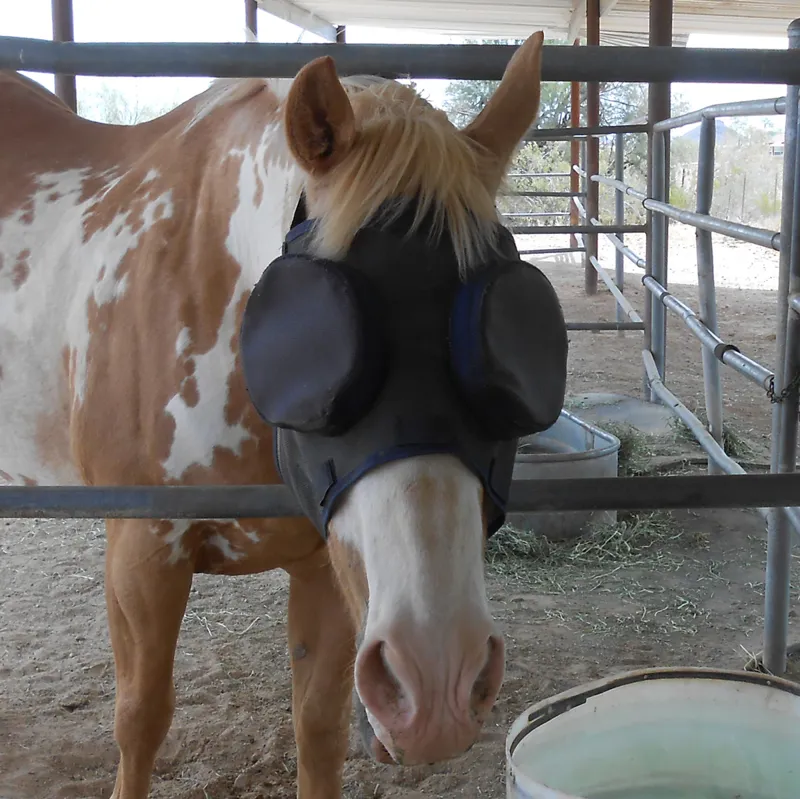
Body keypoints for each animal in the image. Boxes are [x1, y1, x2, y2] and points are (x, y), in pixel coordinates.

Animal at [0, 31, 552, 798]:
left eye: (512, 334)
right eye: (317, 334)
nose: (439, 680)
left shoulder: (327, 562)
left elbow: (317, 726)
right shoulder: (142, 551)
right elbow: (140, 719)